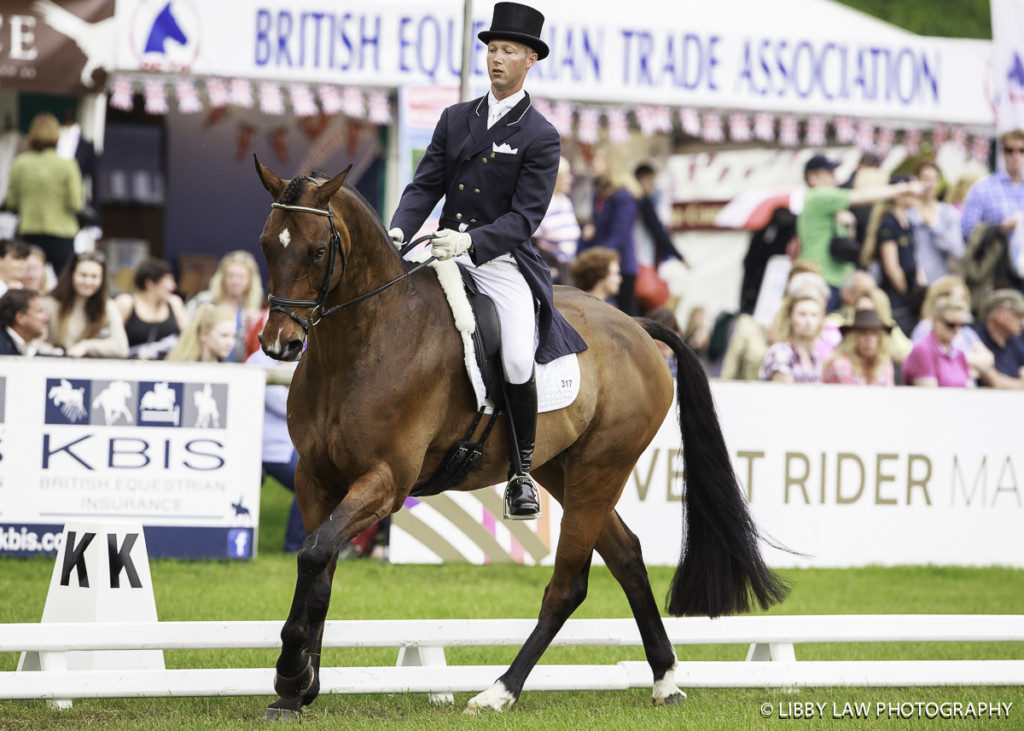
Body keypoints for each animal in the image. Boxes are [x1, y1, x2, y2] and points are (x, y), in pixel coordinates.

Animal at [253, 156, 782, 716]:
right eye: (266, 244)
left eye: (317, 250)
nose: (279, 344)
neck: (361, 344)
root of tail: (636, 326)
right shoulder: (316, 479)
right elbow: (320, 568)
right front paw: (300, 687)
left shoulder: (385, 482)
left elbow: (314, 555)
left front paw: (290, 674)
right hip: (559, 468)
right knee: (628, 556)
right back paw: (665, 680)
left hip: (601, 469)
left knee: (568, 585)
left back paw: (499, 690)